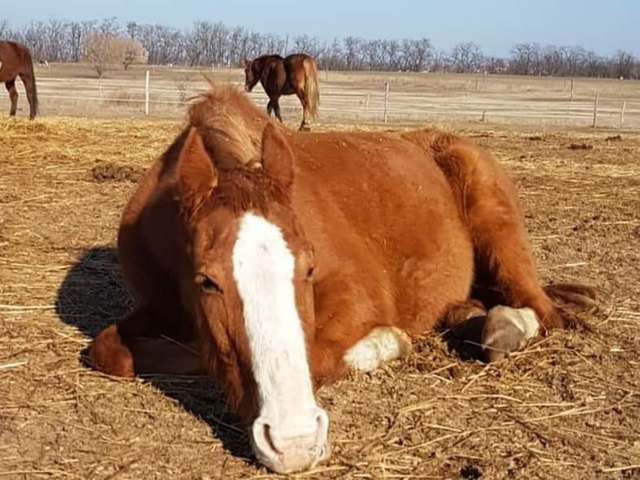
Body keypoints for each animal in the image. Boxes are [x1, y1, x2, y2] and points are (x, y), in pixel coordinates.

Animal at [87, 85, 592, 472]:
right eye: (206, 282)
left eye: (309, 268)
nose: (293, 444)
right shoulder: (153, 306)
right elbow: (110, 350)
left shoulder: (359, 298)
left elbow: (317, 353)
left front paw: (387, 343)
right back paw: (476, 320)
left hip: (497, 226)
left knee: (542, 311)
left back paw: (507, 326)